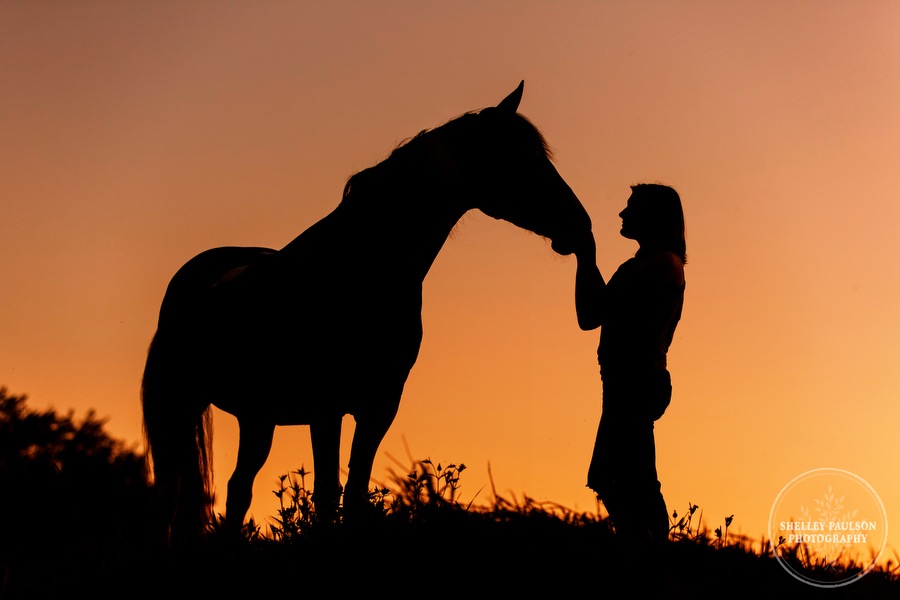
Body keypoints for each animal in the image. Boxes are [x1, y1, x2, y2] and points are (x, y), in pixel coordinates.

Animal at [139, 79, 592, 544]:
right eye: (518, 157)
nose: (580, 225)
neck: (360, 265)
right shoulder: (325, 407)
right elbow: (325, 493)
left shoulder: (379, 405)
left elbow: (354, 492)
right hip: (180, 405)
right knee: (177, 493)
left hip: (256, 418)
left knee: (236, 489)